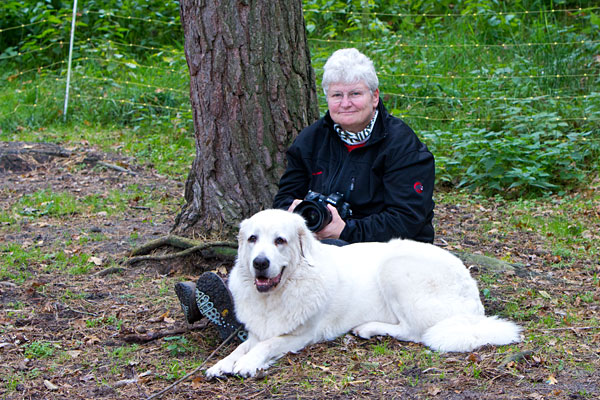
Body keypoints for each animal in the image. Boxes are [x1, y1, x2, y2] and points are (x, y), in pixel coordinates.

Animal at [206, 209, 521, 378]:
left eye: (280, 241)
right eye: (252, 239)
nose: (260, 263)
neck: (277, 293)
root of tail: (474, 304)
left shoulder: (301, 335)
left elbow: (266, 345)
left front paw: (246, 364)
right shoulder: (258, 330)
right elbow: (243, 345)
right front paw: (221, 364)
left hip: (395, 267)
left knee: (415, 332)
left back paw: (368, 328)